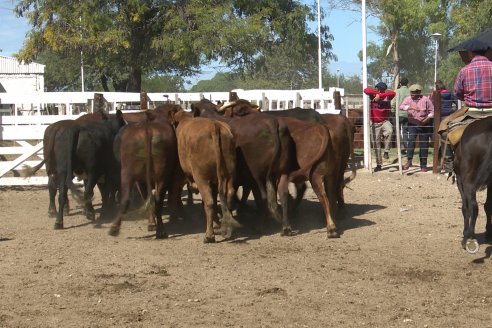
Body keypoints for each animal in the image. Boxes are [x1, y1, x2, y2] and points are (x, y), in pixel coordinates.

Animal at [174, 113, 239, 243]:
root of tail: (214, 126)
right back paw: (227, 229)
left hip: (202, 178)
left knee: (209, 202)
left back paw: (209, 235)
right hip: (230, 174)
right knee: (229, 196)